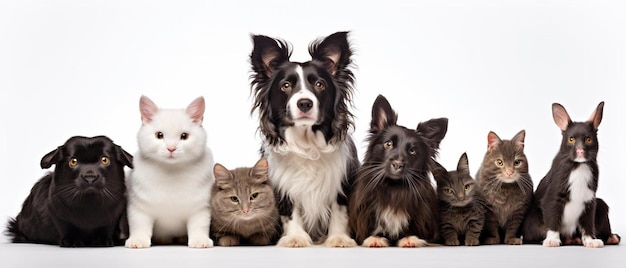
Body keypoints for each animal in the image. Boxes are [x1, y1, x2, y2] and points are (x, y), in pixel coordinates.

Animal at [5, 136, 133, 247]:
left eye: (105, 160)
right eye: (73, 161)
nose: (90, 177)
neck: (89, 206)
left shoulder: (111, 219)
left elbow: (105, 229)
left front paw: (103, 241)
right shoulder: (59, 217)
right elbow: (67, 228)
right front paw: (72, 242)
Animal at [124, 95, 214, 248]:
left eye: (184, 136)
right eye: (159, 135)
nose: (171, 148)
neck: (171, 171)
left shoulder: (200, 208)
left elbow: (199, 225)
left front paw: (199, 239)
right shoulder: (139, 207)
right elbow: (139, 225)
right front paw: (138, 239)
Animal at [247, 31, 356, 247]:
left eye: (320, 85)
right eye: (285, 86)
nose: (305, 103)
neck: (307, 144)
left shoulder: (342, 181)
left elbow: (339, 211)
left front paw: (338, 238)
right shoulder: (282, 184)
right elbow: (290, 211)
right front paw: (296, 237)